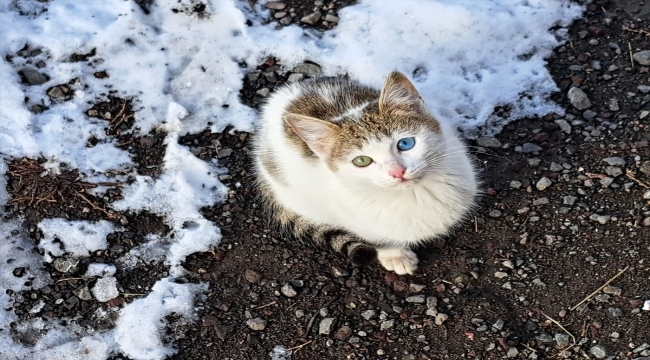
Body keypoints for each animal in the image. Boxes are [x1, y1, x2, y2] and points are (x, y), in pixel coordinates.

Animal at [252, 71, 476, 276]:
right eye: (362, 161)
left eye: (405, 143)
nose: (398, 172)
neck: (414, 195)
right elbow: (378, 237)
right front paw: (396, 255)